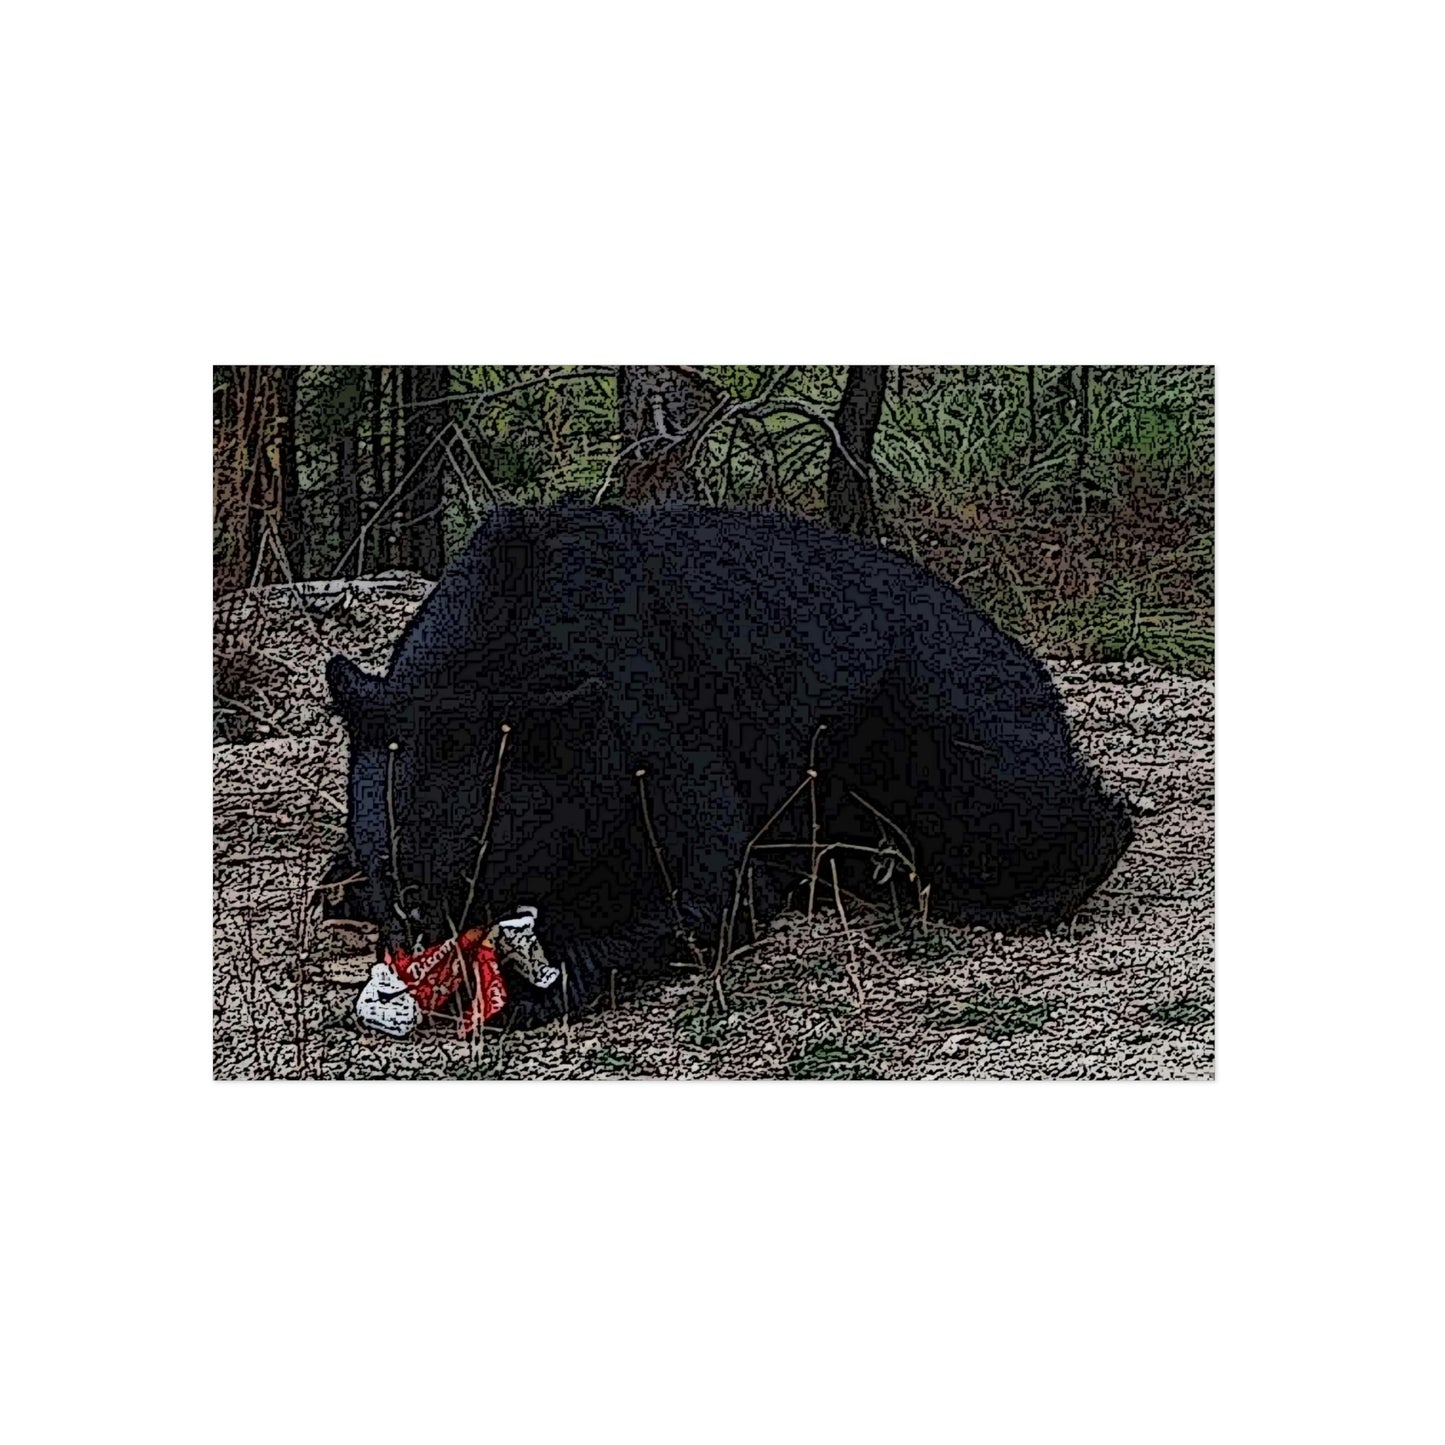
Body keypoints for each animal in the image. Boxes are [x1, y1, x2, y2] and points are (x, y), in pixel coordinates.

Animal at [325, 504, 1133, 1029]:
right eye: (397, 874)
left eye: (479, 874)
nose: (423, 944)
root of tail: (1030, 662)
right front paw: (347, 885)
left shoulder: (644, 711)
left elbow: (708, 879)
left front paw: (538, 980)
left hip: (931, 721)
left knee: (1014, 812)